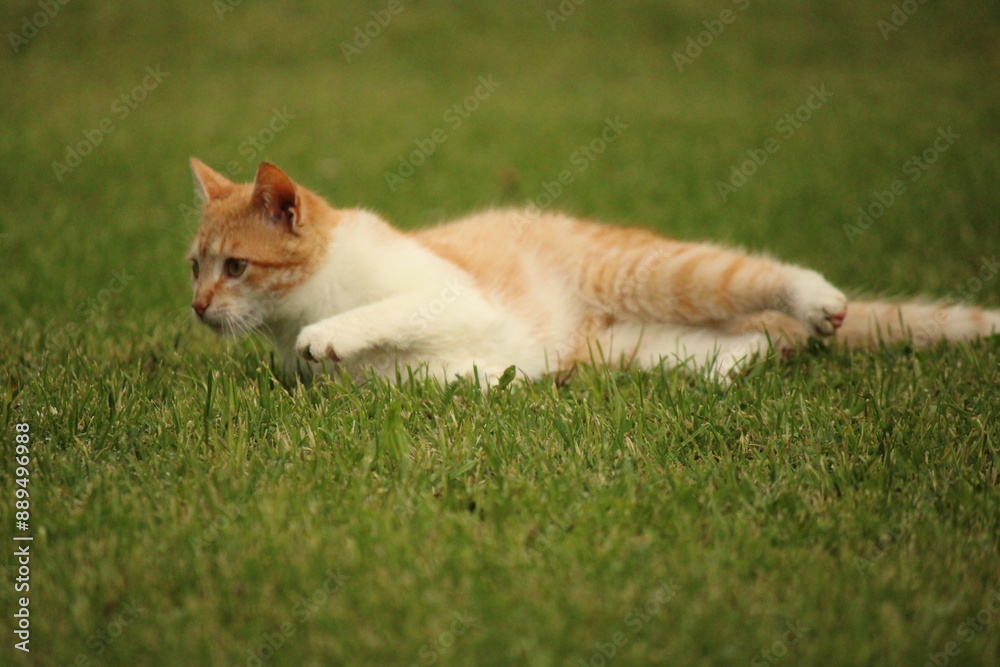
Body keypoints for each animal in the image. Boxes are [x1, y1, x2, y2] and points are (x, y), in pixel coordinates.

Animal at [187, 158, 1000, 385]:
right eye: (193, 267)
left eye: (236, 265)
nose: (196, 306)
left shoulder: (455, 297)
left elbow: (384, 313)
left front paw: (329, 335)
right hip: (630, 346)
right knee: (746, 346)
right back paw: (749, 356)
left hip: (662, 273)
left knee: (766, 277)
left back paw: (816, 300)